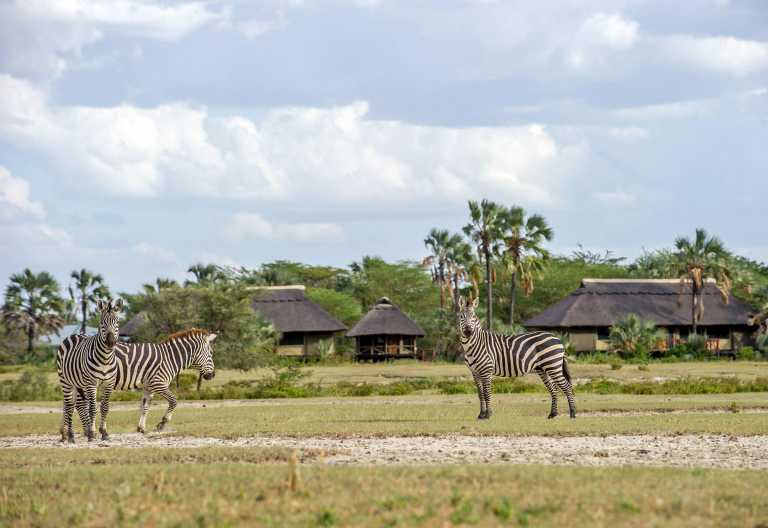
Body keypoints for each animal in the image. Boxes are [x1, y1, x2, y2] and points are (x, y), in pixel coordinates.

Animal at [56, 298, 122, 443]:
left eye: (117, 322)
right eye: (102, 323)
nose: (111, 342)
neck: (105, 359)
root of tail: (75, 335)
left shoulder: (109, 384)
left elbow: (104, 407)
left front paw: (104, 433)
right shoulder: (92, 383)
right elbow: (93, 408)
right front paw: (92, 434)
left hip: (79, 384)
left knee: (76, 404)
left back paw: (72, 434)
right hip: (66, 382)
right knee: (69, 406)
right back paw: (69, 435)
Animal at [76, 328, 216, 435]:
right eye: (211, 353)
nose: (212, 375)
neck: (169, 358)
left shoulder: (149, 387)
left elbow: (145, 407)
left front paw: (141, 428)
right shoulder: (158, 383)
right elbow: (174, 401)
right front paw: (161, 424)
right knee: (82, 405)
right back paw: (89, 431)